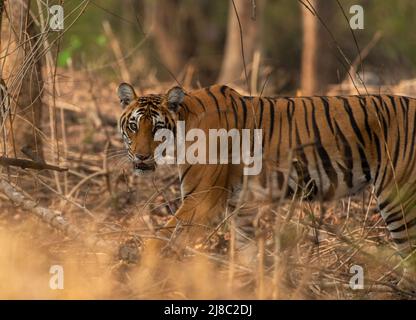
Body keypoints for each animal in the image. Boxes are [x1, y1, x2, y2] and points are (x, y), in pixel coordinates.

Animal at [116, 83, 416, 292]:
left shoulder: (201, 199)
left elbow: (162, 239)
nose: (141, 156)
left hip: (398, 198)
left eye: (157, 128)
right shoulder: (240, 206)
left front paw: (139, 274)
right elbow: (248, 252)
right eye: (133, 126)